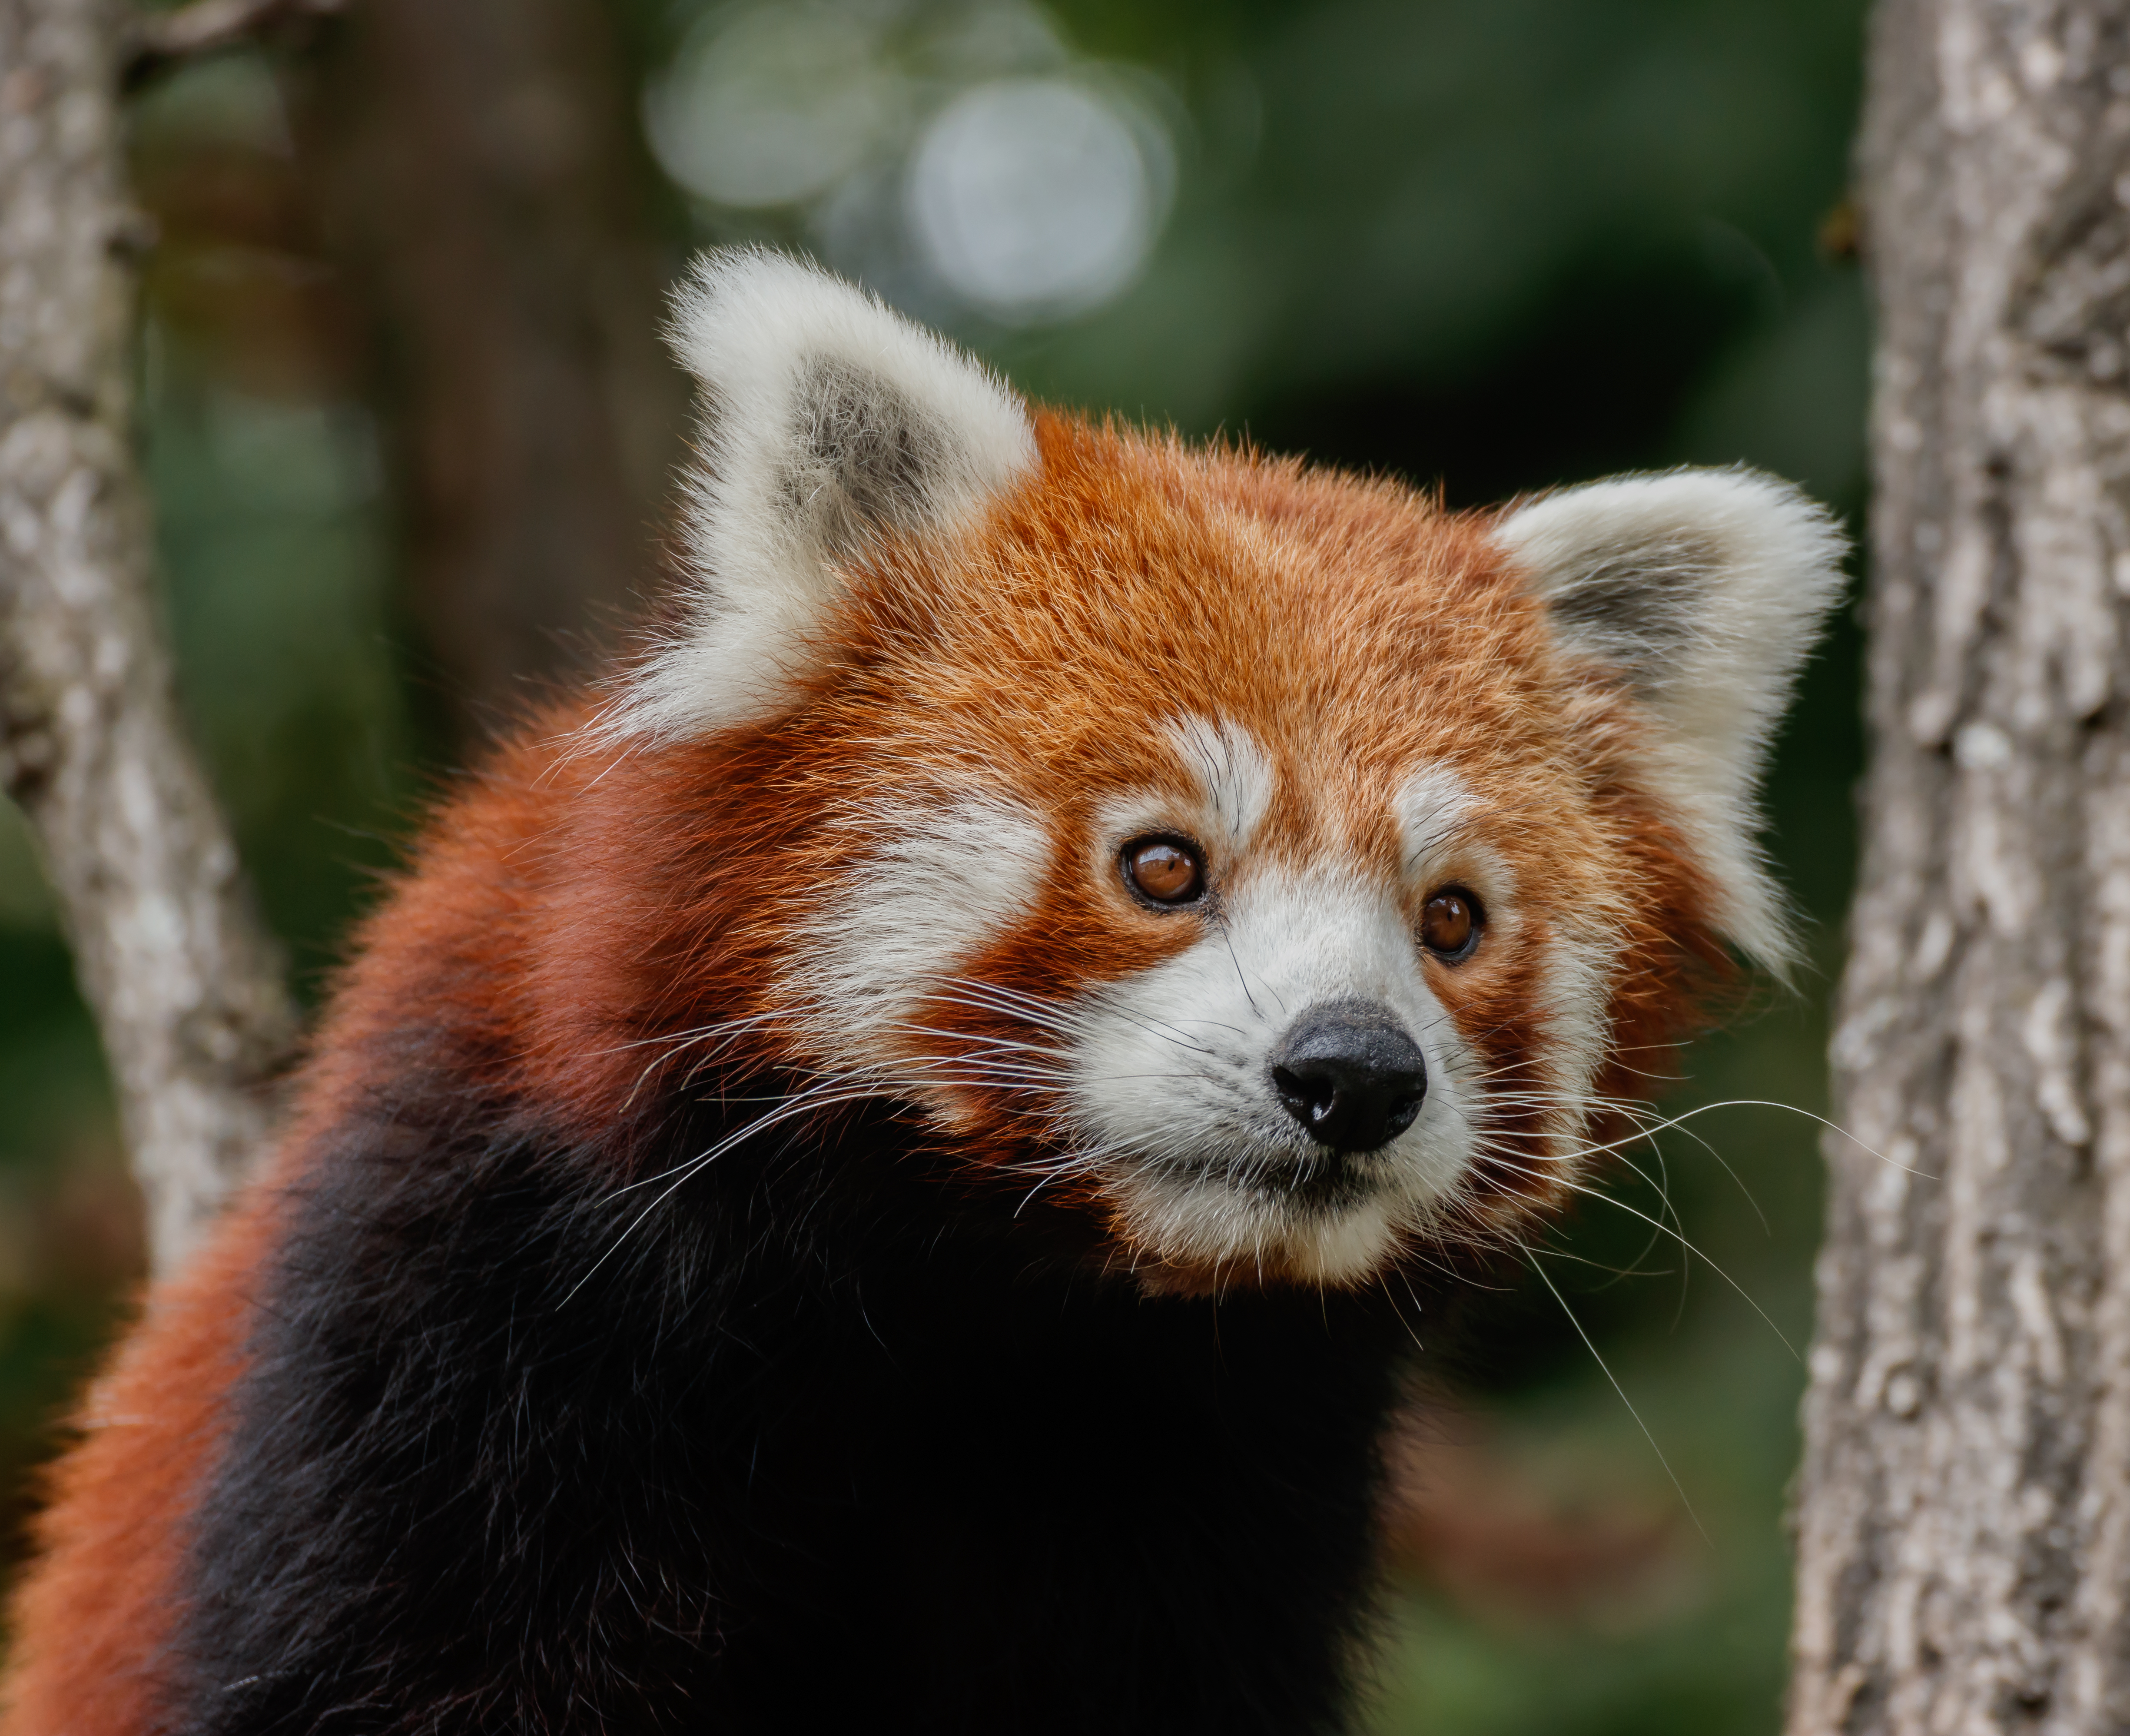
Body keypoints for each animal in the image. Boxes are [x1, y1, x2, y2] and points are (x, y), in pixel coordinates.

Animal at [0, 248, 1840, 1736]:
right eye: (1160, 865)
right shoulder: (461, 1337)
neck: (988, 1315)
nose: (1354, 1072)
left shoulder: (1219, 1505)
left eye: (1451, 918)